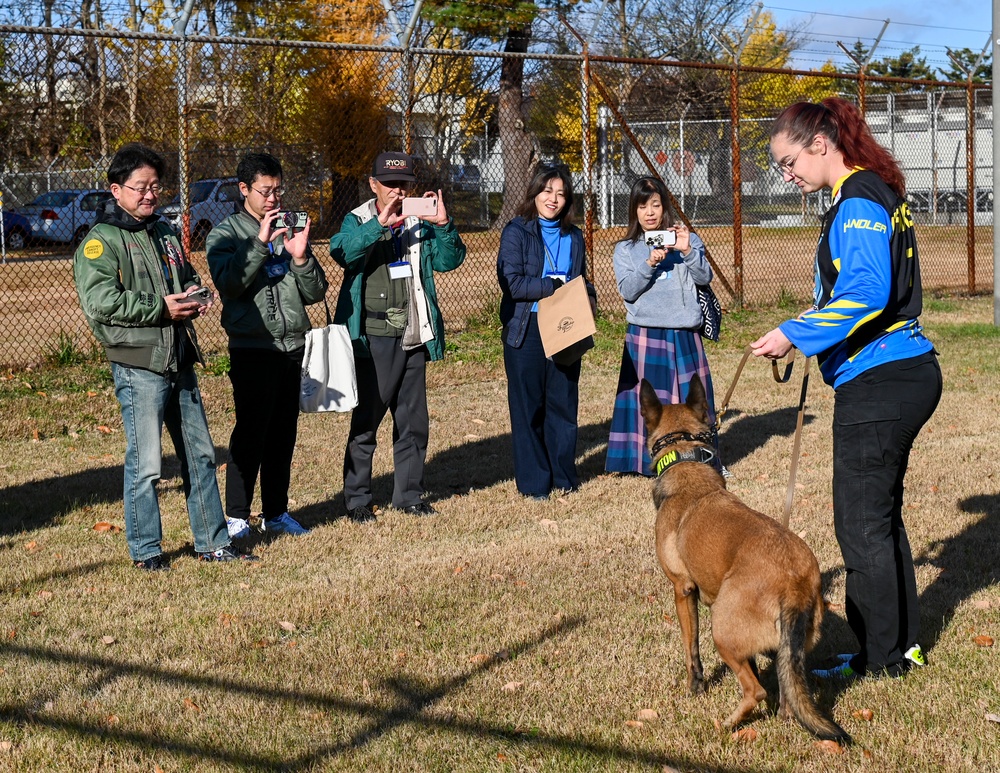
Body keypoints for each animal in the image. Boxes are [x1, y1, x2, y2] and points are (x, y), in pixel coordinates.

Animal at [644, 374, 848, 740]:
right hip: (782, 649)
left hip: (721, 630)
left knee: (756, 691)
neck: (688, 469)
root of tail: (795, 581)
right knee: (785, 693)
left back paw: (726, 725)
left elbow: (690, 647)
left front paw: (695, 687)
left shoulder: (683, 590)